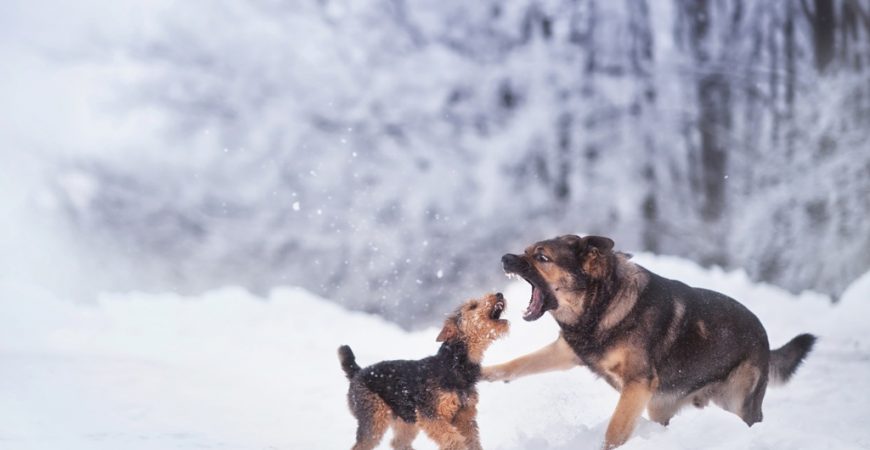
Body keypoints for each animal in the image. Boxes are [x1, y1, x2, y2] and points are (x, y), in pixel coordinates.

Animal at [336, 292, 510, 450]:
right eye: (472, 306)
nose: (499, 294)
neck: (454, 363)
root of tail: (357, 372)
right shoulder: (430, 415)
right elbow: (453, 439)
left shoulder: (465, 416)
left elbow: (472, 441)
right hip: (374, 420)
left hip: (406, 419)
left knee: (398, 442)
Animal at [484, 236, 816, 450]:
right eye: (526, 251)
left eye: (542, 257)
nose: (504, 258)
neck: (604, 302)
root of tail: (765, 341)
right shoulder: (567, 352)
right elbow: (518, 364)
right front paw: (482, 372)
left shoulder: (638, 383)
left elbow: (615, 430)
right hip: (659, 406)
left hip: (737, 402)